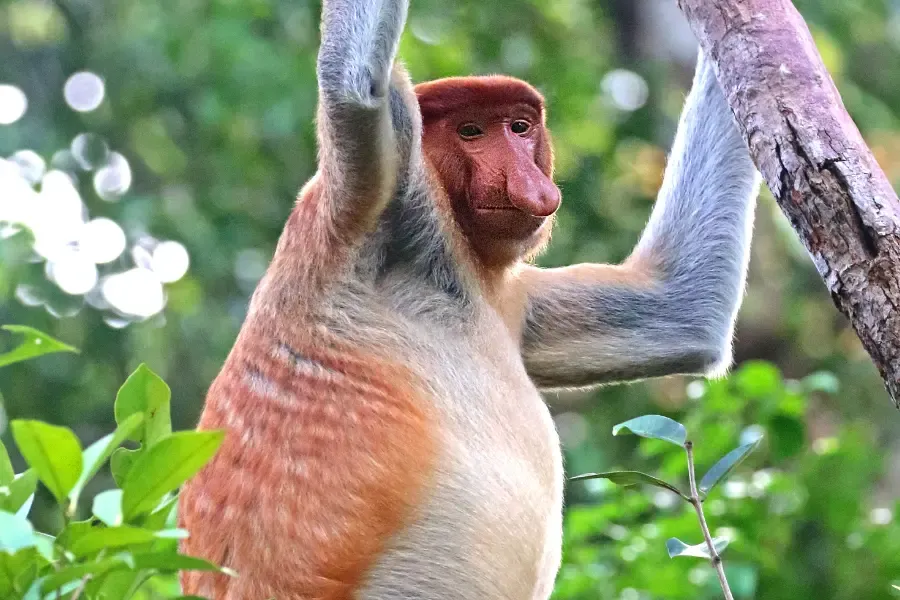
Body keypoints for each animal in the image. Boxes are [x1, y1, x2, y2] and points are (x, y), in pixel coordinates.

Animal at [178, 0, 760, 598]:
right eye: (471, 131)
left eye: (520, 128)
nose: (530, 184)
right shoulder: (370, 201)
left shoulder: (516, 299)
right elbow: (354, 89)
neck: (451, 250)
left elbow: (683, 308)